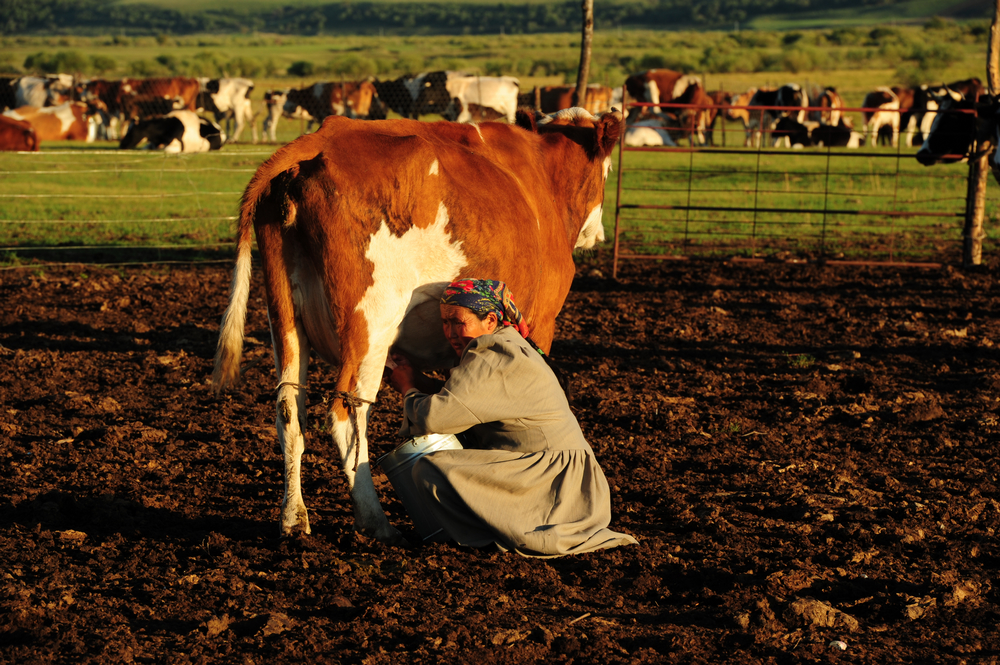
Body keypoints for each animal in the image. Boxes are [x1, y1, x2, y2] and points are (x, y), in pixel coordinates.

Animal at [214, 106, 620, 540]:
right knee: (345, 417)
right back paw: (376, 521)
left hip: (285, 321)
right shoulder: (541, 321)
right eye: (607, 170)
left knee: (289, 410)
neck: (541, 177)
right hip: (371, 328)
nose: (597, 234)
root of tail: (319, 139)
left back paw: (293, 517)